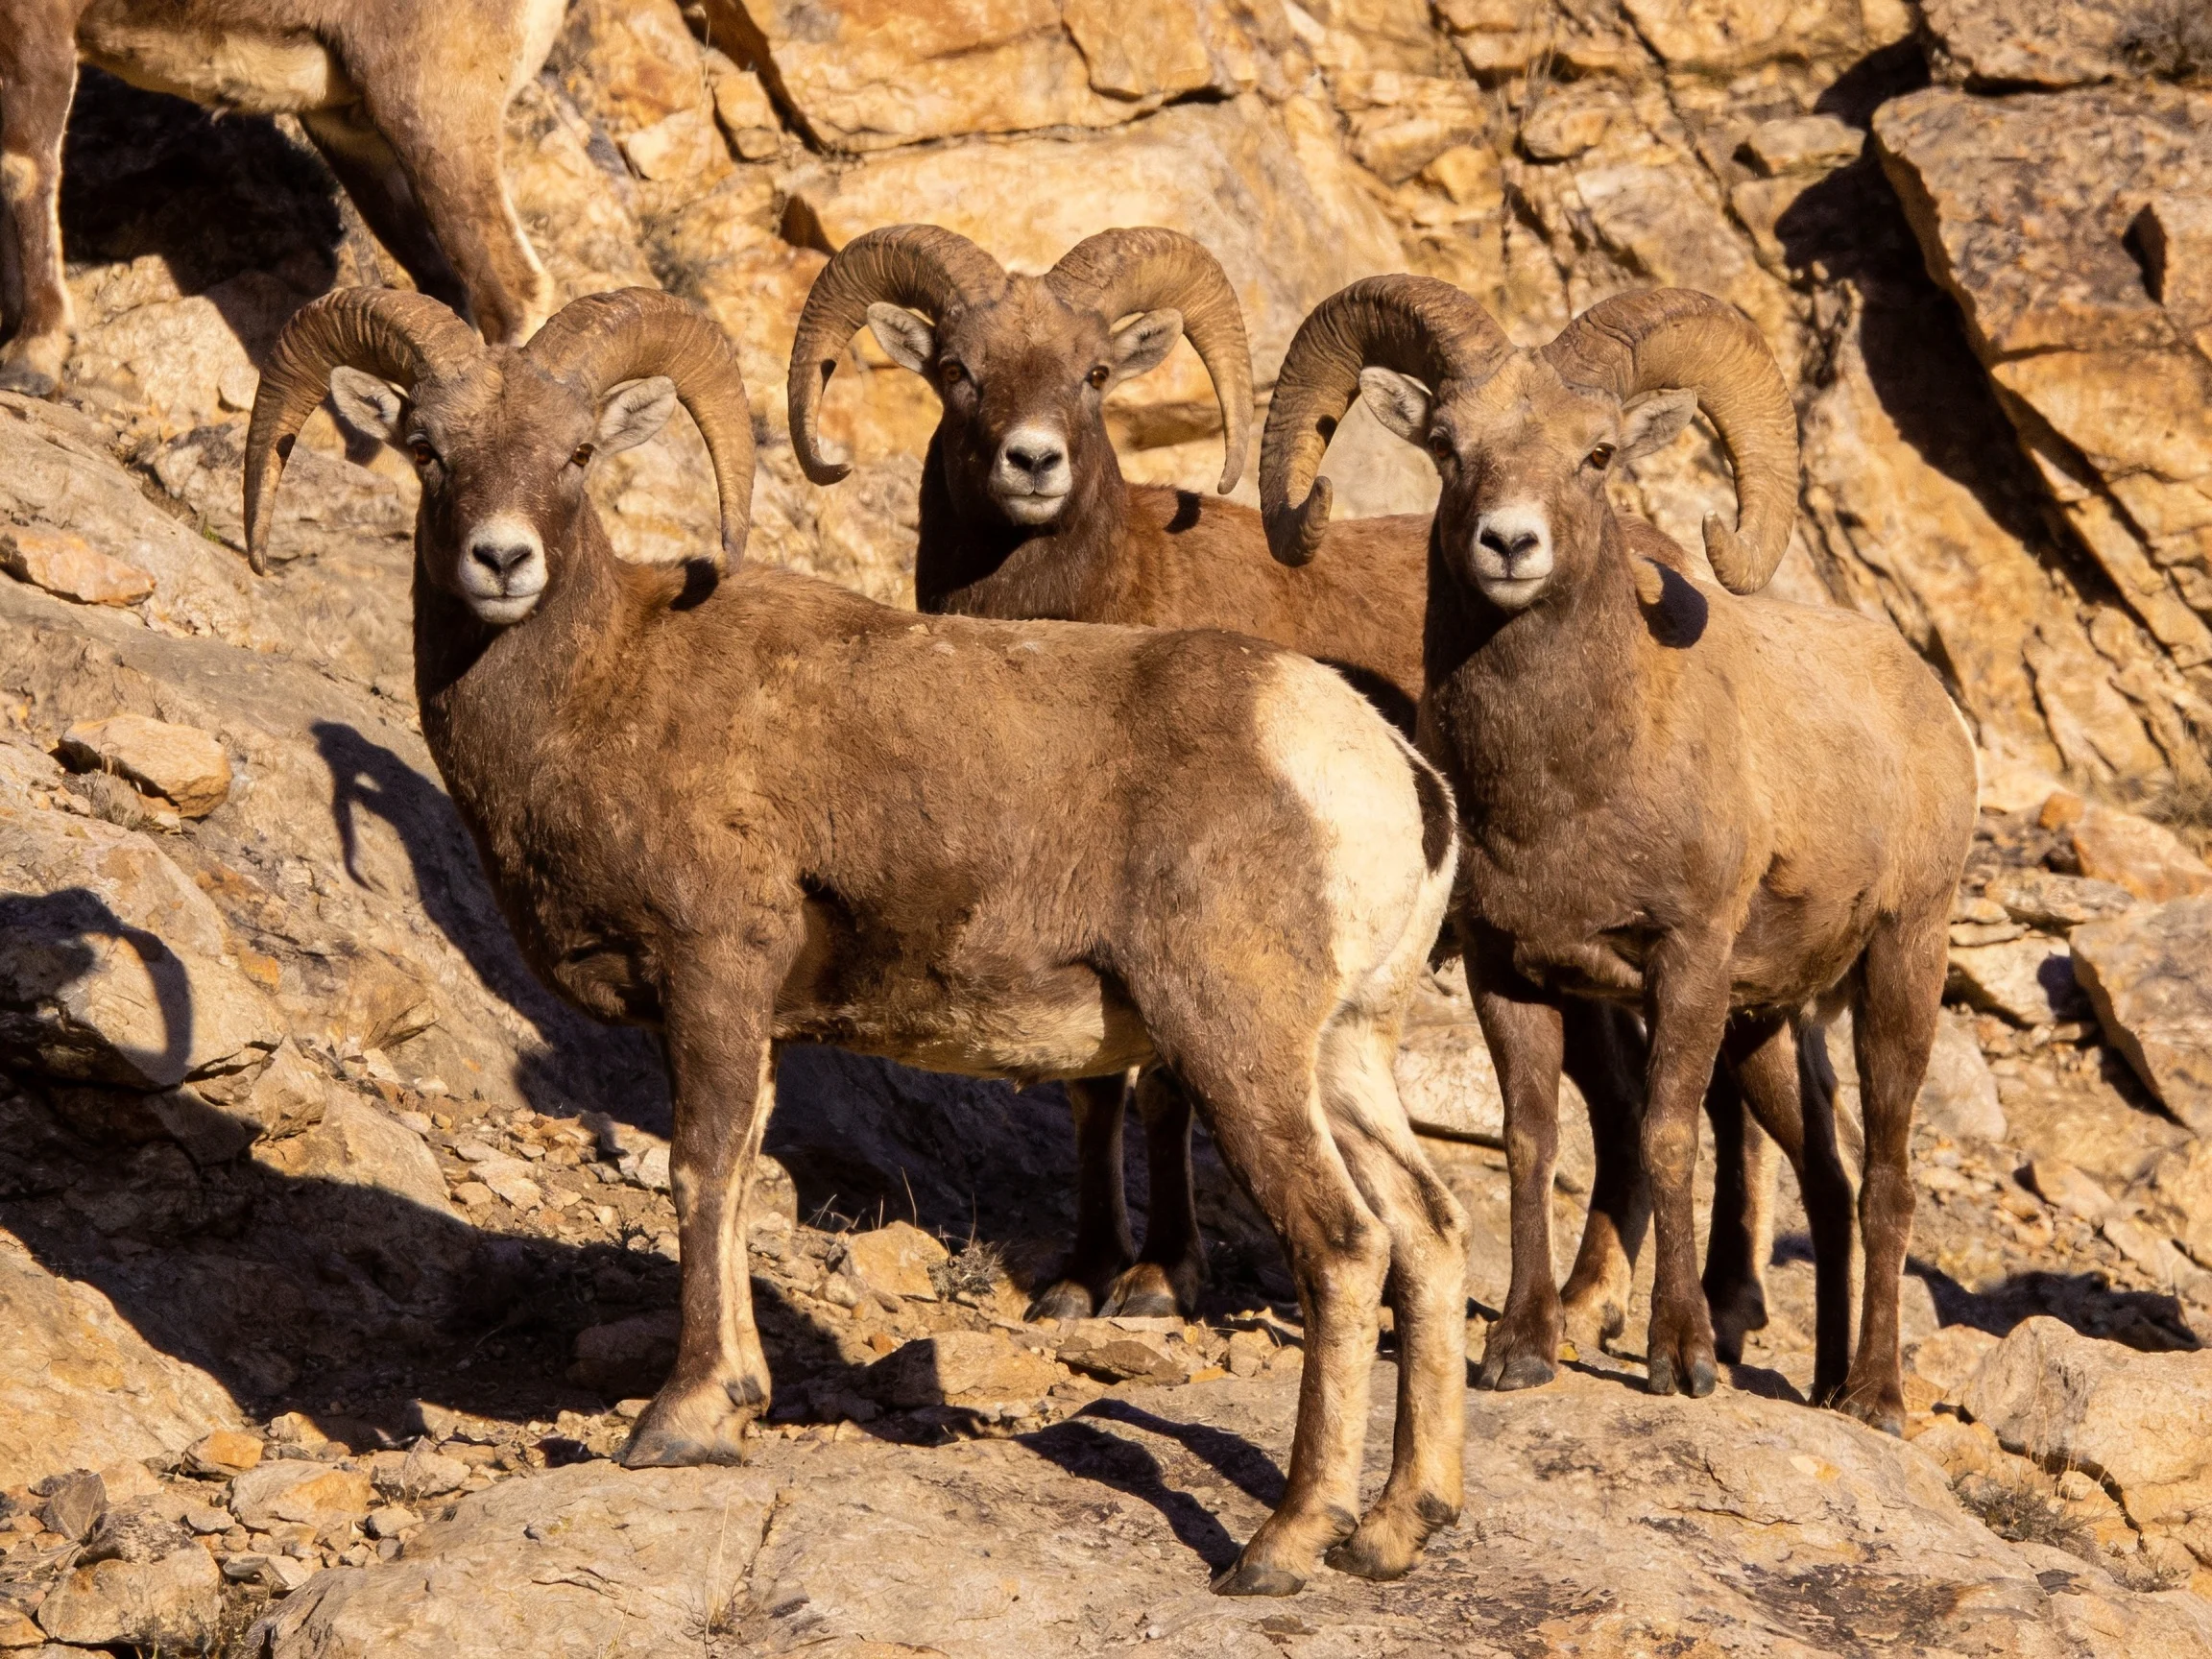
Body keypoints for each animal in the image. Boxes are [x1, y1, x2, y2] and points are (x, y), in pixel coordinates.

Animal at [243, 283, 1471, 1595]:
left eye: (576, 456)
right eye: (430, 450)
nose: (502, 561)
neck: (606, 691)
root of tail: (1387, 770)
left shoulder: (714, 979)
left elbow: (700, 1174)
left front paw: (680, 1421)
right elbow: (738, 1182)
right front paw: (737, 1403)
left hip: (1240, 1049)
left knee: (1343, 1244)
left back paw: (1283, 1546)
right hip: (1344, 1055)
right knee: (1430, 1231)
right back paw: (1399, 1527)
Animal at [786, 221, 1679, 1340]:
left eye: (1092, 374)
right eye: (958, 372)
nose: (1031, 462)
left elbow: (1164, 1093)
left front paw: (1159, 1279)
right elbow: (1094, 1093)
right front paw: (1084, 1276)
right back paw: (1590, 1305)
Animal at [1258, 276, 1976, 1430]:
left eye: (1596, 454)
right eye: (1450, 446)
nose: (1509, 545)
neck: (1569, 788)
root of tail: (1932, 706)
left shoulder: (1685, 966)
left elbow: (1665, 1136)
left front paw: (1679, 1358)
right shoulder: (1513, 973)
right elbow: (1533, 1138)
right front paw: (1520, 1347)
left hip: (1902, 967)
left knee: (1888, 1180)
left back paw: (1872, 1397)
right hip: (1766, 1027)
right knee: (1826, 1177)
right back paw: (1822, 1383)